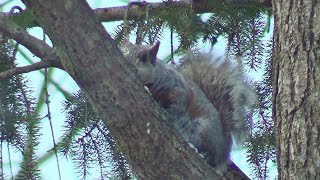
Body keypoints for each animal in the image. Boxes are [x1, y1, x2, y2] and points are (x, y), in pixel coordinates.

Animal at [119, 39, 256, 169]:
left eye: (143, 57)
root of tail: (223, 151)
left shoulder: (177, 88)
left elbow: (178, 104)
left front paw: (167, 112)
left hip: (203, 130)